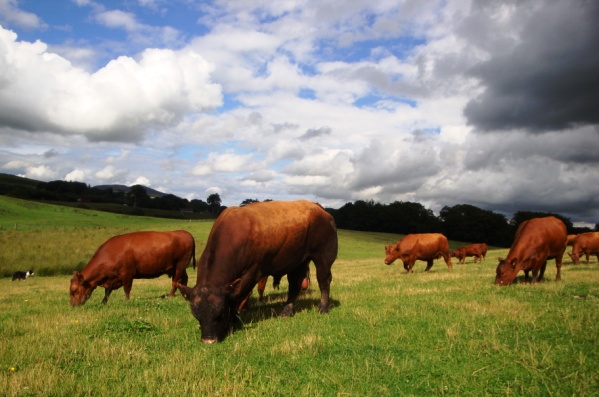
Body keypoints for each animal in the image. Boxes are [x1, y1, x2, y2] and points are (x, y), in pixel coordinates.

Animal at [177, 200, 338, 342]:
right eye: (197, 315)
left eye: (220, 313)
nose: (208, 340)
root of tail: (317, 207)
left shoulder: (251, 273)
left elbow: (237, 296)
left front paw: (232, 321)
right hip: (297, 262)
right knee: (294, 285)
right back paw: (286, 311)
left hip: (323, 257)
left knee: (324, 281)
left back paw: (323, 308)